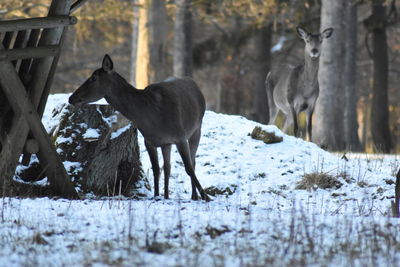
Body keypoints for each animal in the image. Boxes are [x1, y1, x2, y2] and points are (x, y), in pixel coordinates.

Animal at [69, 54, 211, 201]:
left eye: (94, 78)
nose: (71, 98)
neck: (152, 117)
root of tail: (194, 84)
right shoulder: (148, 141)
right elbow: (156, 169)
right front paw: (156, 195)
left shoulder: (180, 136)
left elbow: (188, 168)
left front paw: (206, 196)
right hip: (167, 143)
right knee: (167, 166)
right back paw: (167, 195)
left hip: (197, 128)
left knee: (193, 162)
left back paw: (194, 195)